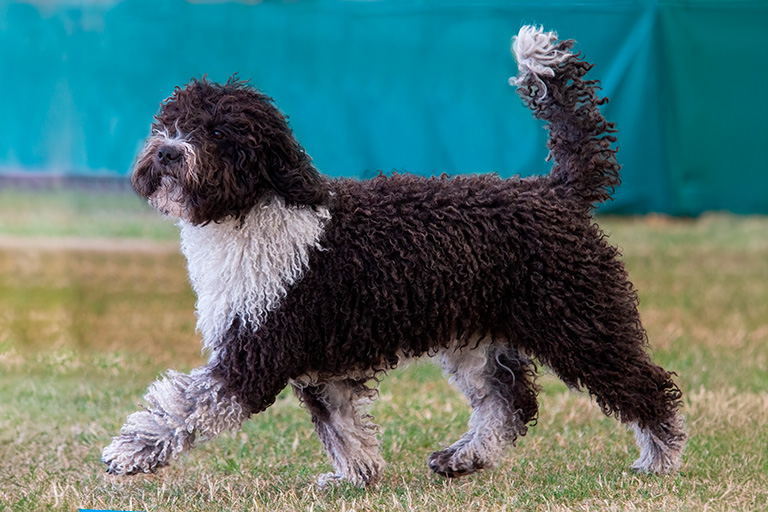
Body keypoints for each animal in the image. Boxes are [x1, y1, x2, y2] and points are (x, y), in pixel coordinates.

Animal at [102, 25, 684, 488]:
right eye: (168, 123)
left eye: (219, 131)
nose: (167, 153)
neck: (255, 212)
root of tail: (555, 190)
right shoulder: (319, 364)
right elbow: (343, 425)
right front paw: (354, 478)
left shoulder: (256, 353)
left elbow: (185, 406)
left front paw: (129, 452)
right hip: (478, 335)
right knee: (510, 402)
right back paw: (463, 458)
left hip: (581, 321)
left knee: (648, 387)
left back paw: (659, 460)